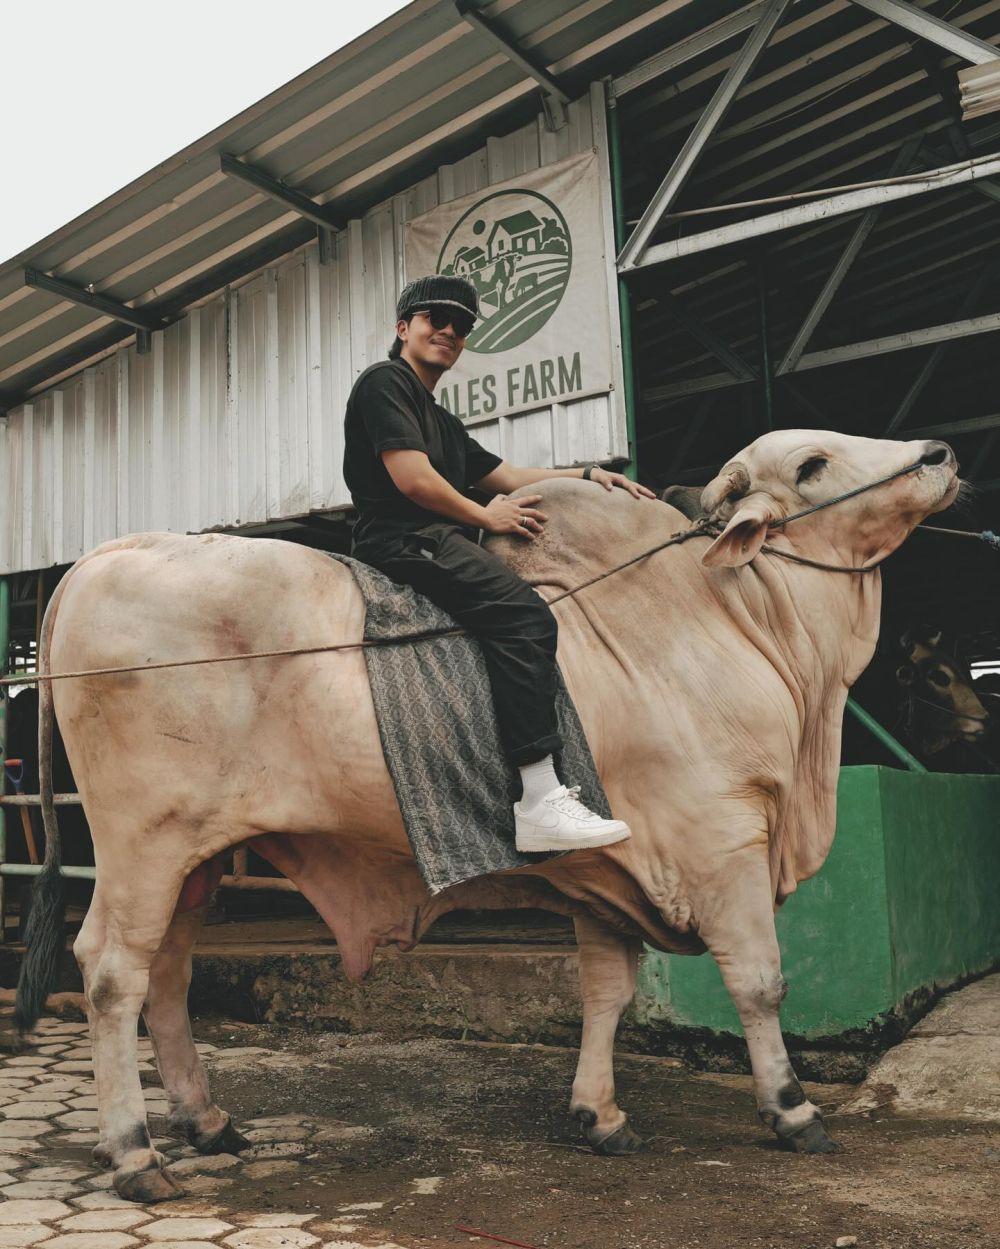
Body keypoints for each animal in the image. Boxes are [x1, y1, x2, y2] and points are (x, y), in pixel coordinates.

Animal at [13, 429, 953, 1199]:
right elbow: (760, 982)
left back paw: (206, 1120)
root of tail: (94, 563)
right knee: (110, 971)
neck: (727, 619)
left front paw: (599, 1115)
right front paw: (792, 1109)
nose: (939, 454)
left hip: (196, 856)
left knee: (167, 972)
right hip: (141, 842)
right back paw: (134, 1152)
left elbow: (606, 991)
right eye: (813, 463)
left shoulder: (612, 873)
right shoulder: (724, 842)